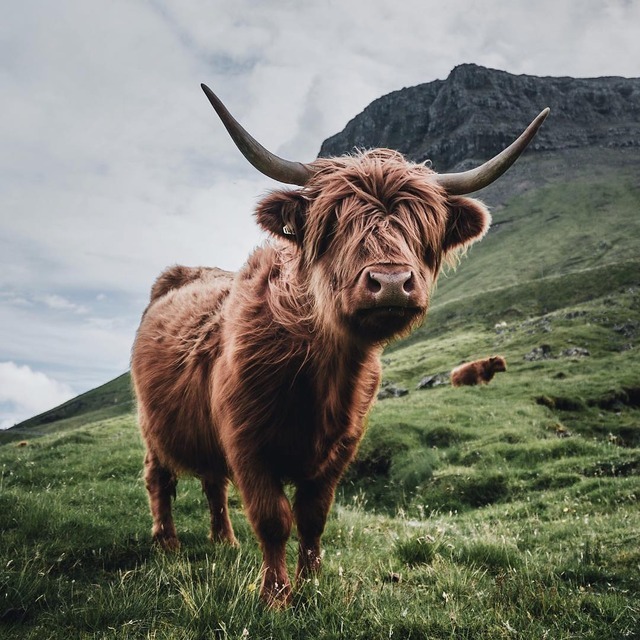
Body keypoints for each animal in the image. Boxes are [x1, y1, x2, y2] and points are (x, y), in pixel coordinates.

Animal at [131, 84, 552, 604]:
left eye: (422, 225)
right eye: (335, 223)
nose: (390, 282)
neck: (320, 368)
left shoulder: (341, 448)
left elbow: (313, 517)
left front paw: (312, 584)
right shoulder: (247, 443)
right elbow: (273, 519)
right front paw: (275, 596)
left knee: (212, 485)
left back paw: (224, 541)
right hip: (153, 426)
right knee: (160, 479)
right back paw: (167, 542)